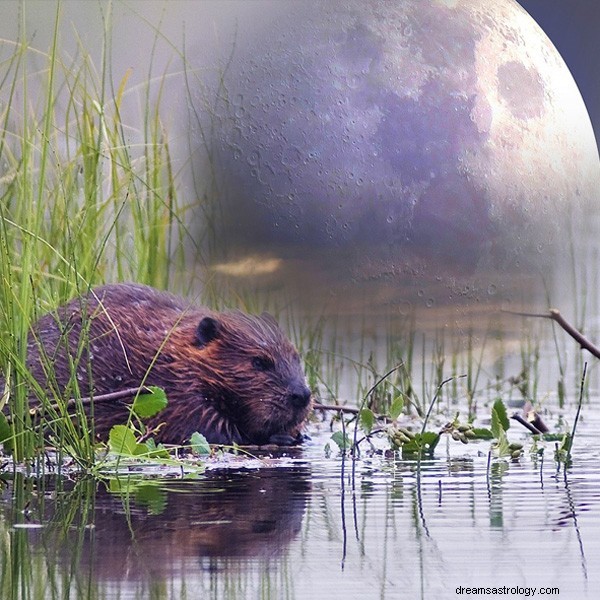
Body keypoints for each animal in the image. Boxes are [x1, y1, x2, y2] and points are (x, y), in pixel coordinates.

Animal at [18, 284, 312, 446]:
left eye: (297, 358)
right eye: (259, 362)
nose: (302, 395)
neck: (171, 354)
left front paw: (298, 435)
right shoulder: (174, 393)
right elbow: (205, 430)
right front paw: (280, 437)